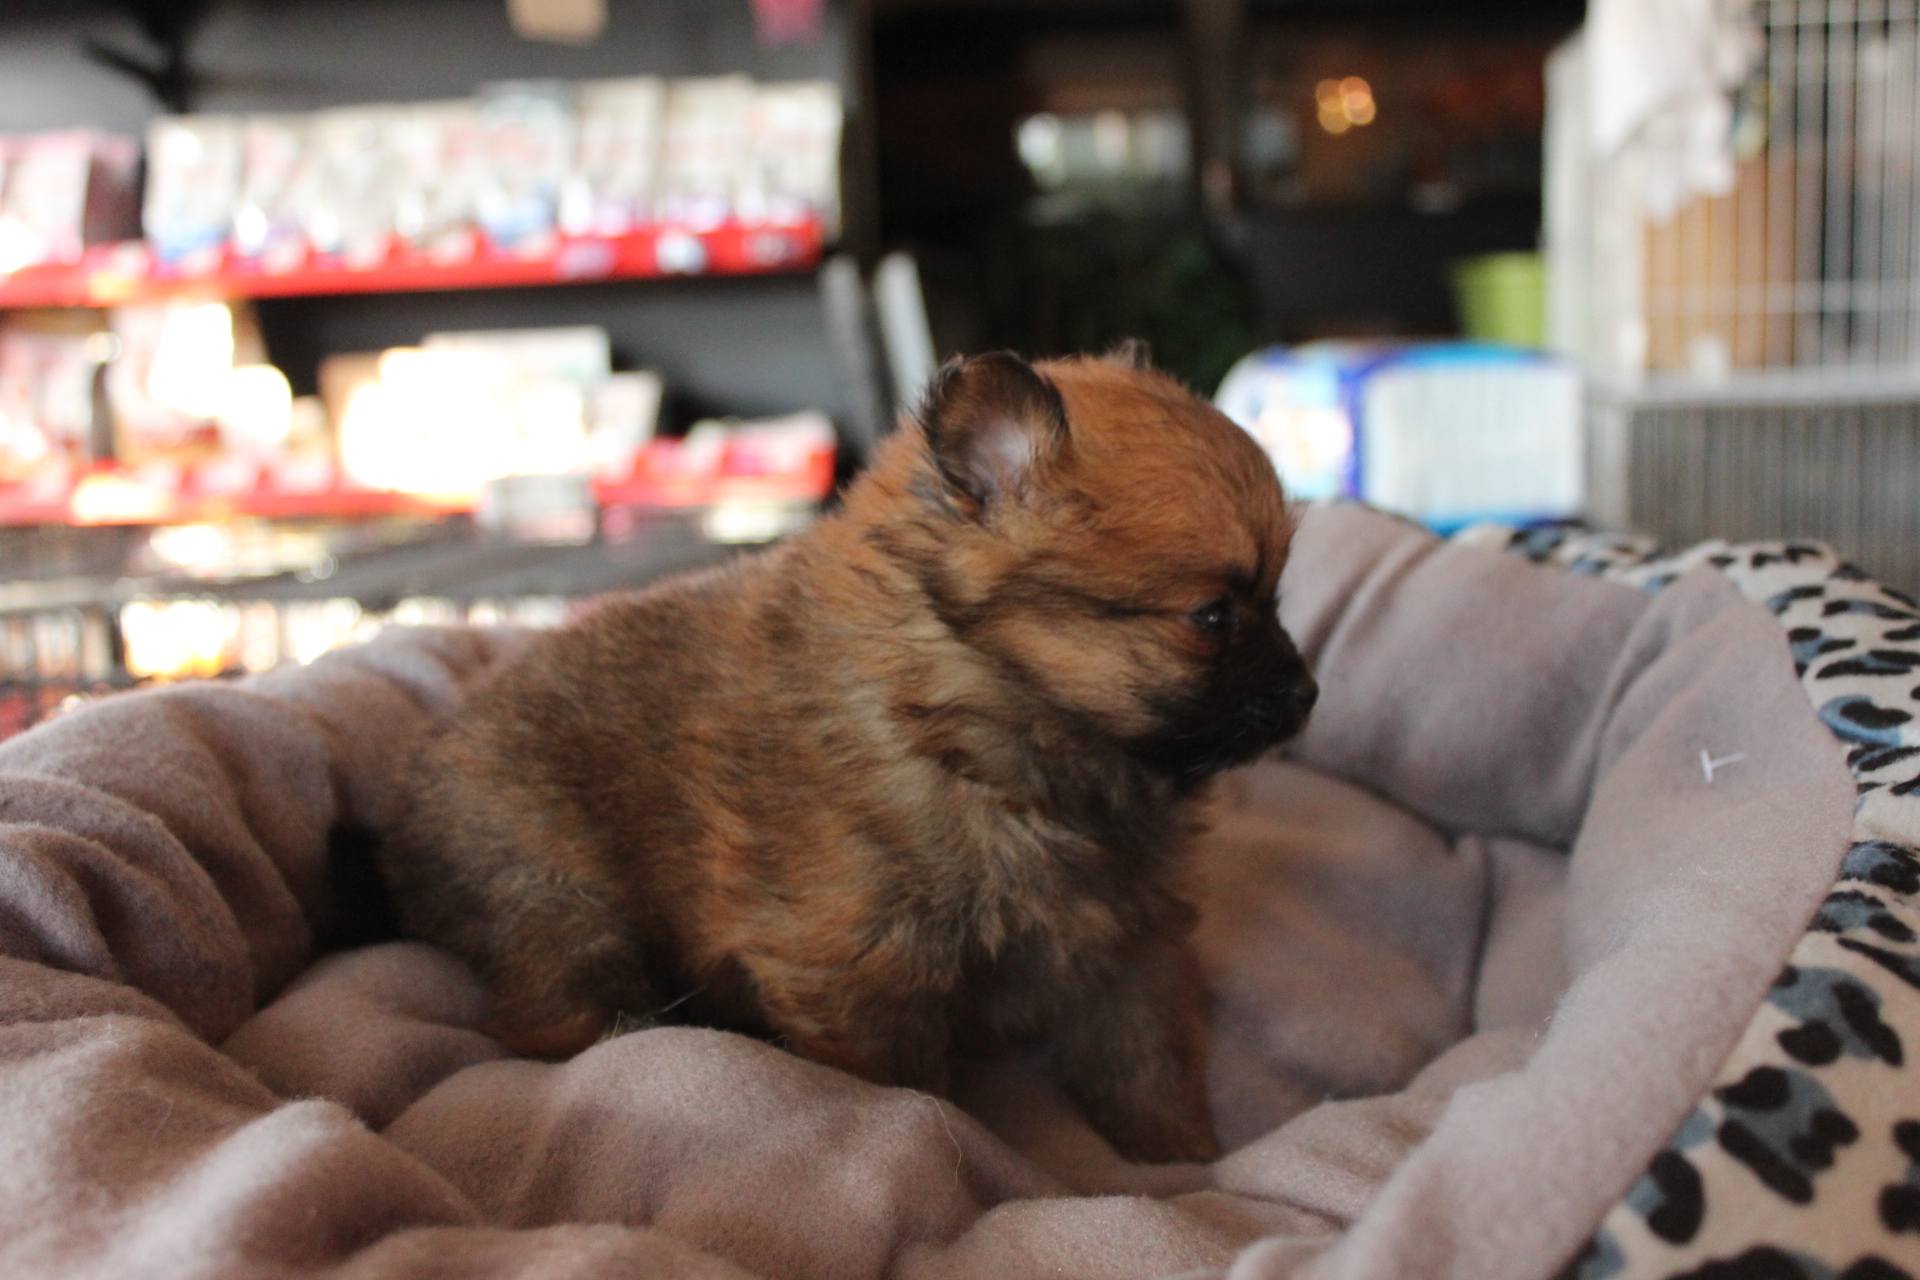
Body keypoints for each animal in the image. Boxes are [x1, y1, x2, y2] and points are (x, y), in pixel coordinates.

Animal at [378, 346, 1317, 1163]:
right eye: (1212, 617)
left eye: (1276, 599)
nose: (1307, 693)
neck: (991, 735)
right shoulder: (862, 976)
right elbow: (907, 1098)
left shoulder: (1129, 943)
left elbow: (1144, 1061)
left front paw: (1180, 1160)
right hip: (561, 899)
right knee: (561, 1024)